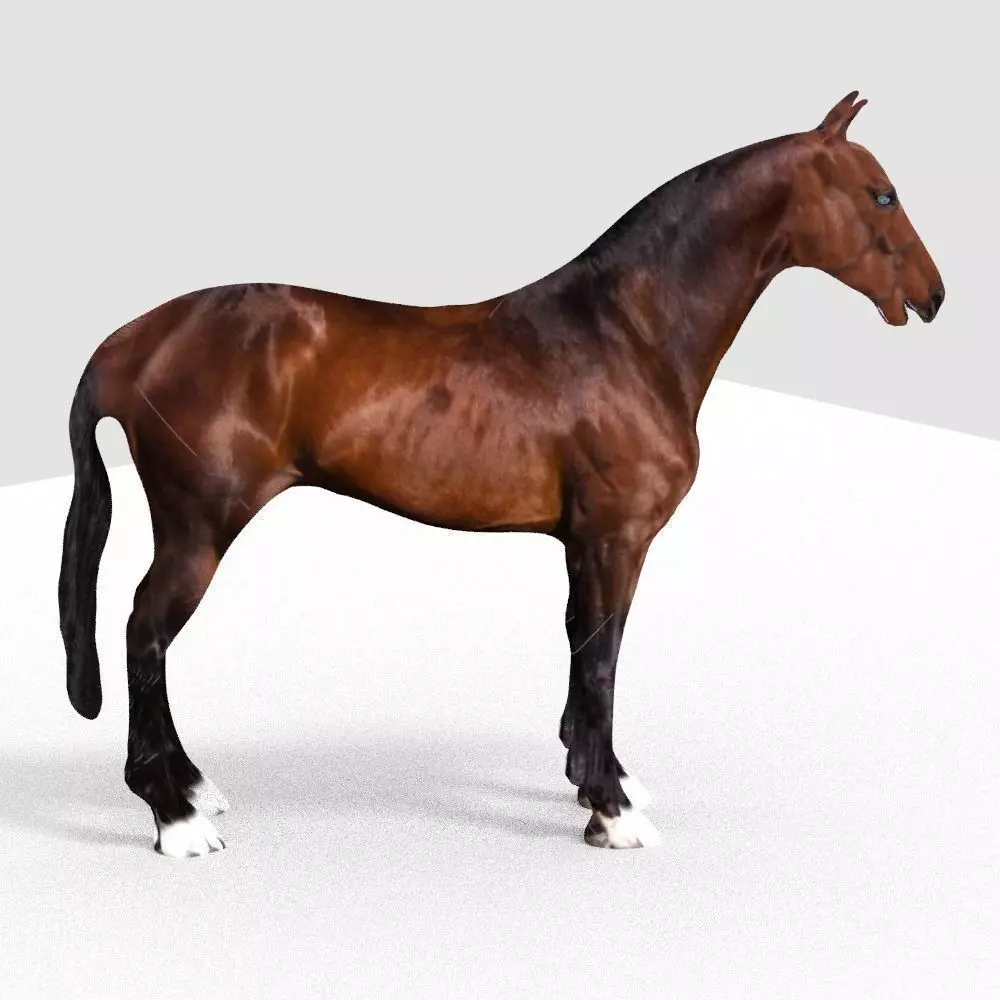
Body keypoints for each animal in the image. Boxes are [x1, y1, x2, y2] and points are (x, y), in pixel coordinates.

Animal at [58, 91, 945, 858]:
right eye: (883, 194)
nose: (934, 297)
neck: (627, 334)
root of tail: (135, 340)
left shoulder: (585, 542)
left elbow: (586, 650)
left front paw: (600, 780)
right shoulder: (615, 538)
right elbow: (601, 658)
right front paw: (612, 814)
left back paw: (193, 789)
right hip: (199, 531)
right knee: (144, 632)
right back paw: (175, 820)